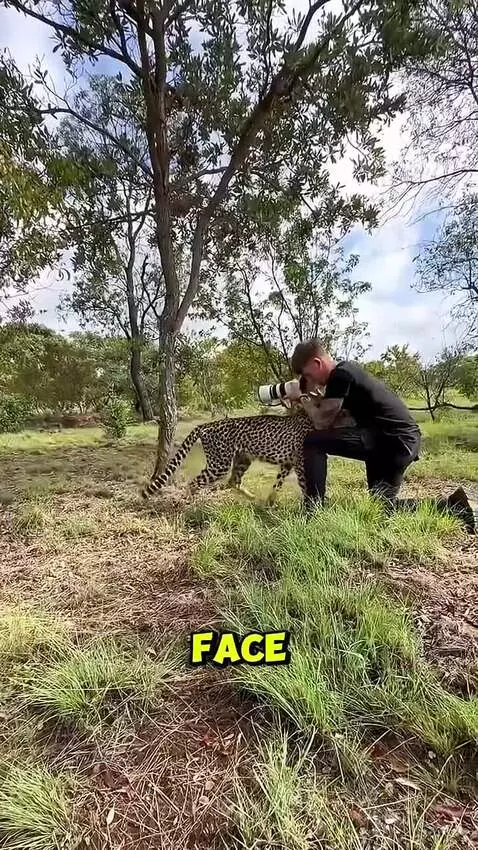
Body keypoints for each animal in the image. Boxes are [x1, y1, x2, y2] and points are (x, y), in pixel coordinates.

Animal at [141, 400, 356, 503]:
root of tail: (205, 425)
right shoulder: (300, 464)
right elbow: (305, 486)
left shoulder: (288, 463)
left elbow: (278, 483)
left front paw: (270, 502)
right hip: (220, 463)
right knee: (194, 483)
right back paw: (194, 503)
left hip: (242, 459)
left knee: (233, 481)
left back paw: (252, 497)